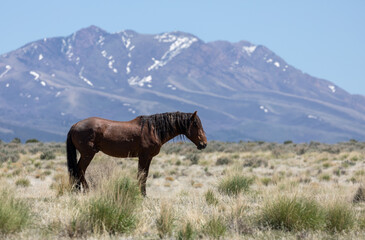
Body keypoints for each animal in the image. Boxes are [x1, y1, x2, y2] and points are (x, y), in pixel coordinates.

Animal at [66, 111, 206, 196]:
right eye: (195, 124)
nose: (203, 144)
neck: (153, 129)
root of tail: (74, 126)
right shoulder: (144, 157)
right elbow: (141, 176)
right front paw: (142, 196)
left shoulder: (148, 158)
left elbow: (144, 175)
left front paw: (143, 194)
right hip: (88, 154)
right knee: (80, 170)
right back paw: (87, 191)